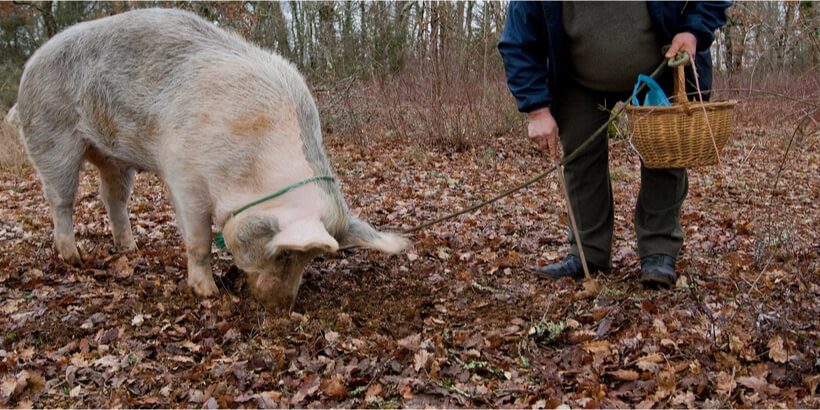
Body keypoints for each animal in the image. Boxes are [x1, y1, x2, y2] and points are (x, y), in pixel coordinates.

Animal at [16, 7, 406, 310]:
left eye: (311, 259)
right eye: (285, 254)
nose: (282, 306)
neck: (251, 168)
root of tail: (31, 62)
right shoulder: (183, 175)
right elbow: (198, 240)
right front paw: (208, 294)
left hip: (115, 160)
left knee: (112, 198)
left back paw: (131, 247)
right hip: (50, 137)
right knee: (61, 199)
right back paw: (74, 258)